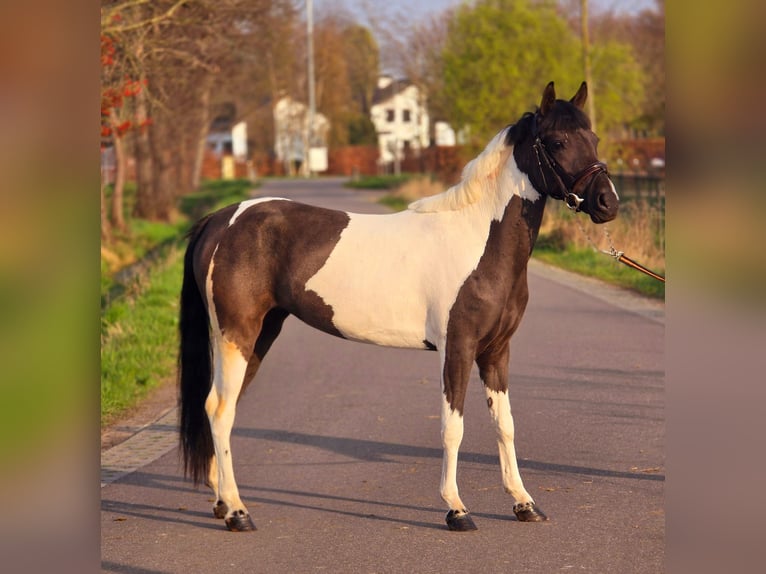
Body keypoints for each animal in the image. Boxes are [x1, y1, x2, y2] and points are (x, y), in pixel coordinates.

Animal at [178, 81, 619, 532]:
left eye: (594, 138)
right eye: (558, 141)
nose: (608, 202)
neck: (479, 239)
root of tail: (221, 219)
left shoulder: (496, 352)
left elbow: (505, 425)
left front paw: (524, 503)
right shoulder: (457, 349)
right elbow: (452, 427)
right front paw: (456, 509)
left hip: (259, 336)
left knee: (222, 409)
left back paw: (222, 504)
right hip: (237, 334)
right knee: (219, 410)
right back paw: (238, 512)